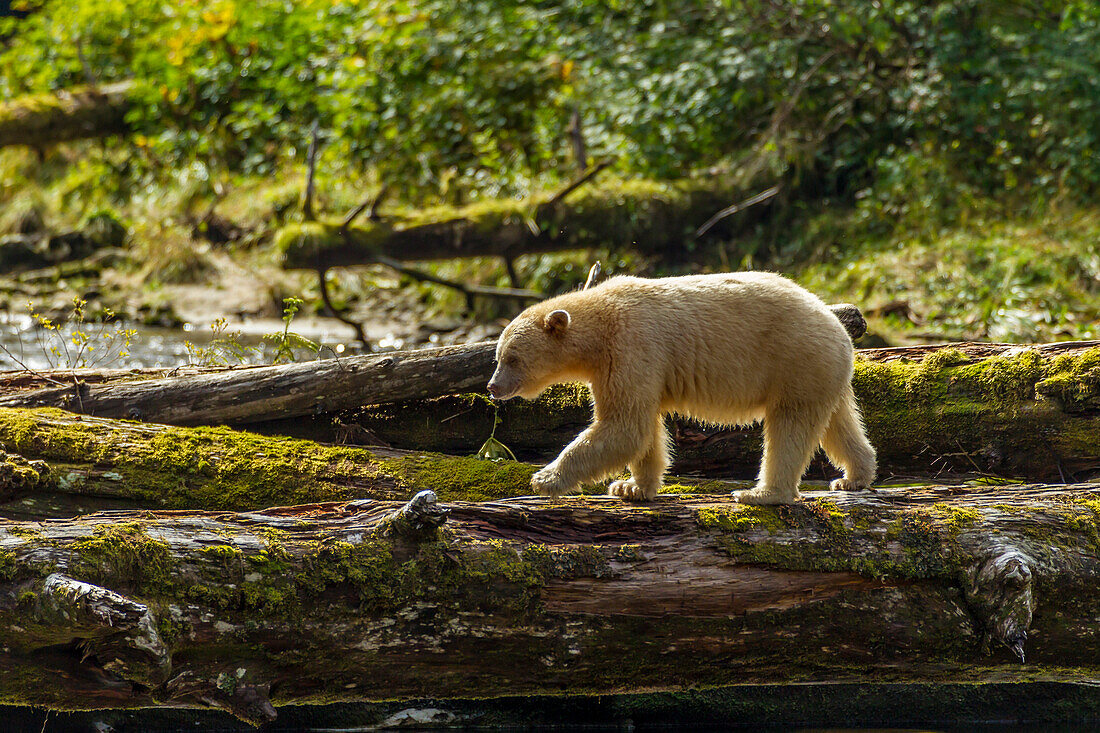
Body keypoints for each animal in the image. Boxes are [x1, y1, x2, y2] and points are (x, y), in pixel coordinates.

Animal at [488, 269, 875, 501]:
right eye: (497, 356)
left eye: (512, 358)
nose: (493, 387)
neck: (601, 319)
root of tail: (839, 328)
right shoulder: (624, 364)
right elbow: (642, 429)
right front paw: (631, 487)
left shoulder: (632, 345)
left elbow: (623, 426)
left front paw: (545, 479)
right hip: (821, 372)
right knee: (838, 424)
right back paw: (854, 476)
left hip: (794, 360)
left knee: (789, 429)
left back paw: (762, 493)